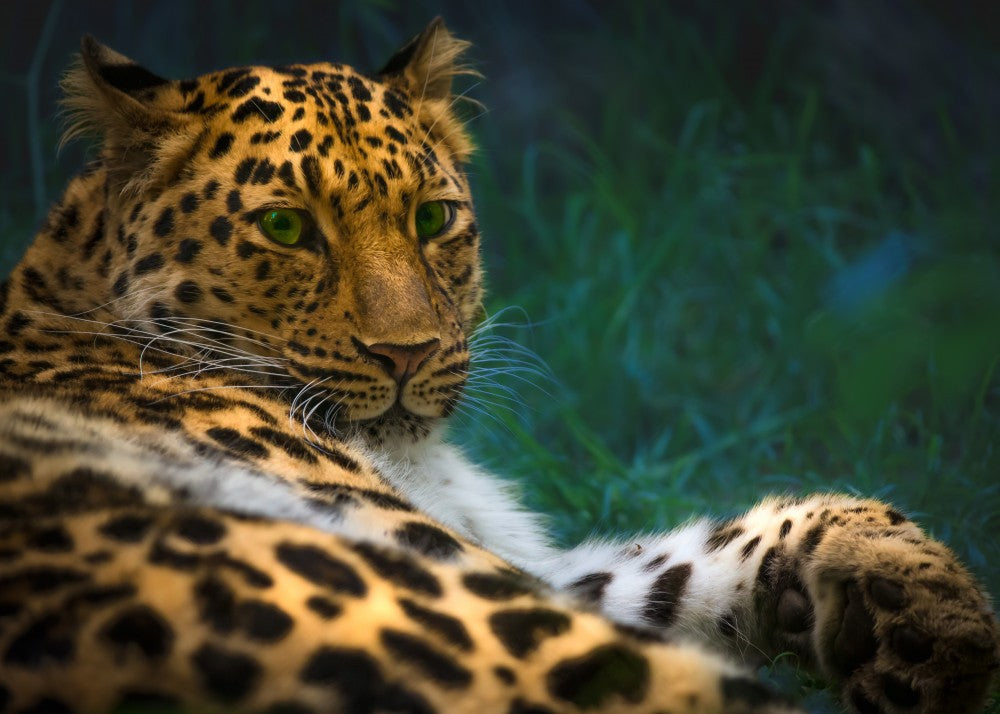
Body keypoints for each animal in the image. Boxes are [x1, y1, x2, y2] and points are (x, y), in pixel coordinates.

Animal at [0, 18, 996, 714]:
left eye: (433, 218)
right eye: (285, 228)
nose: (407, 352)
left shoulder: (540, 573)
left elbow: (692, 558)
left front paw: (914, 606)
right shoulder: (458, 568)